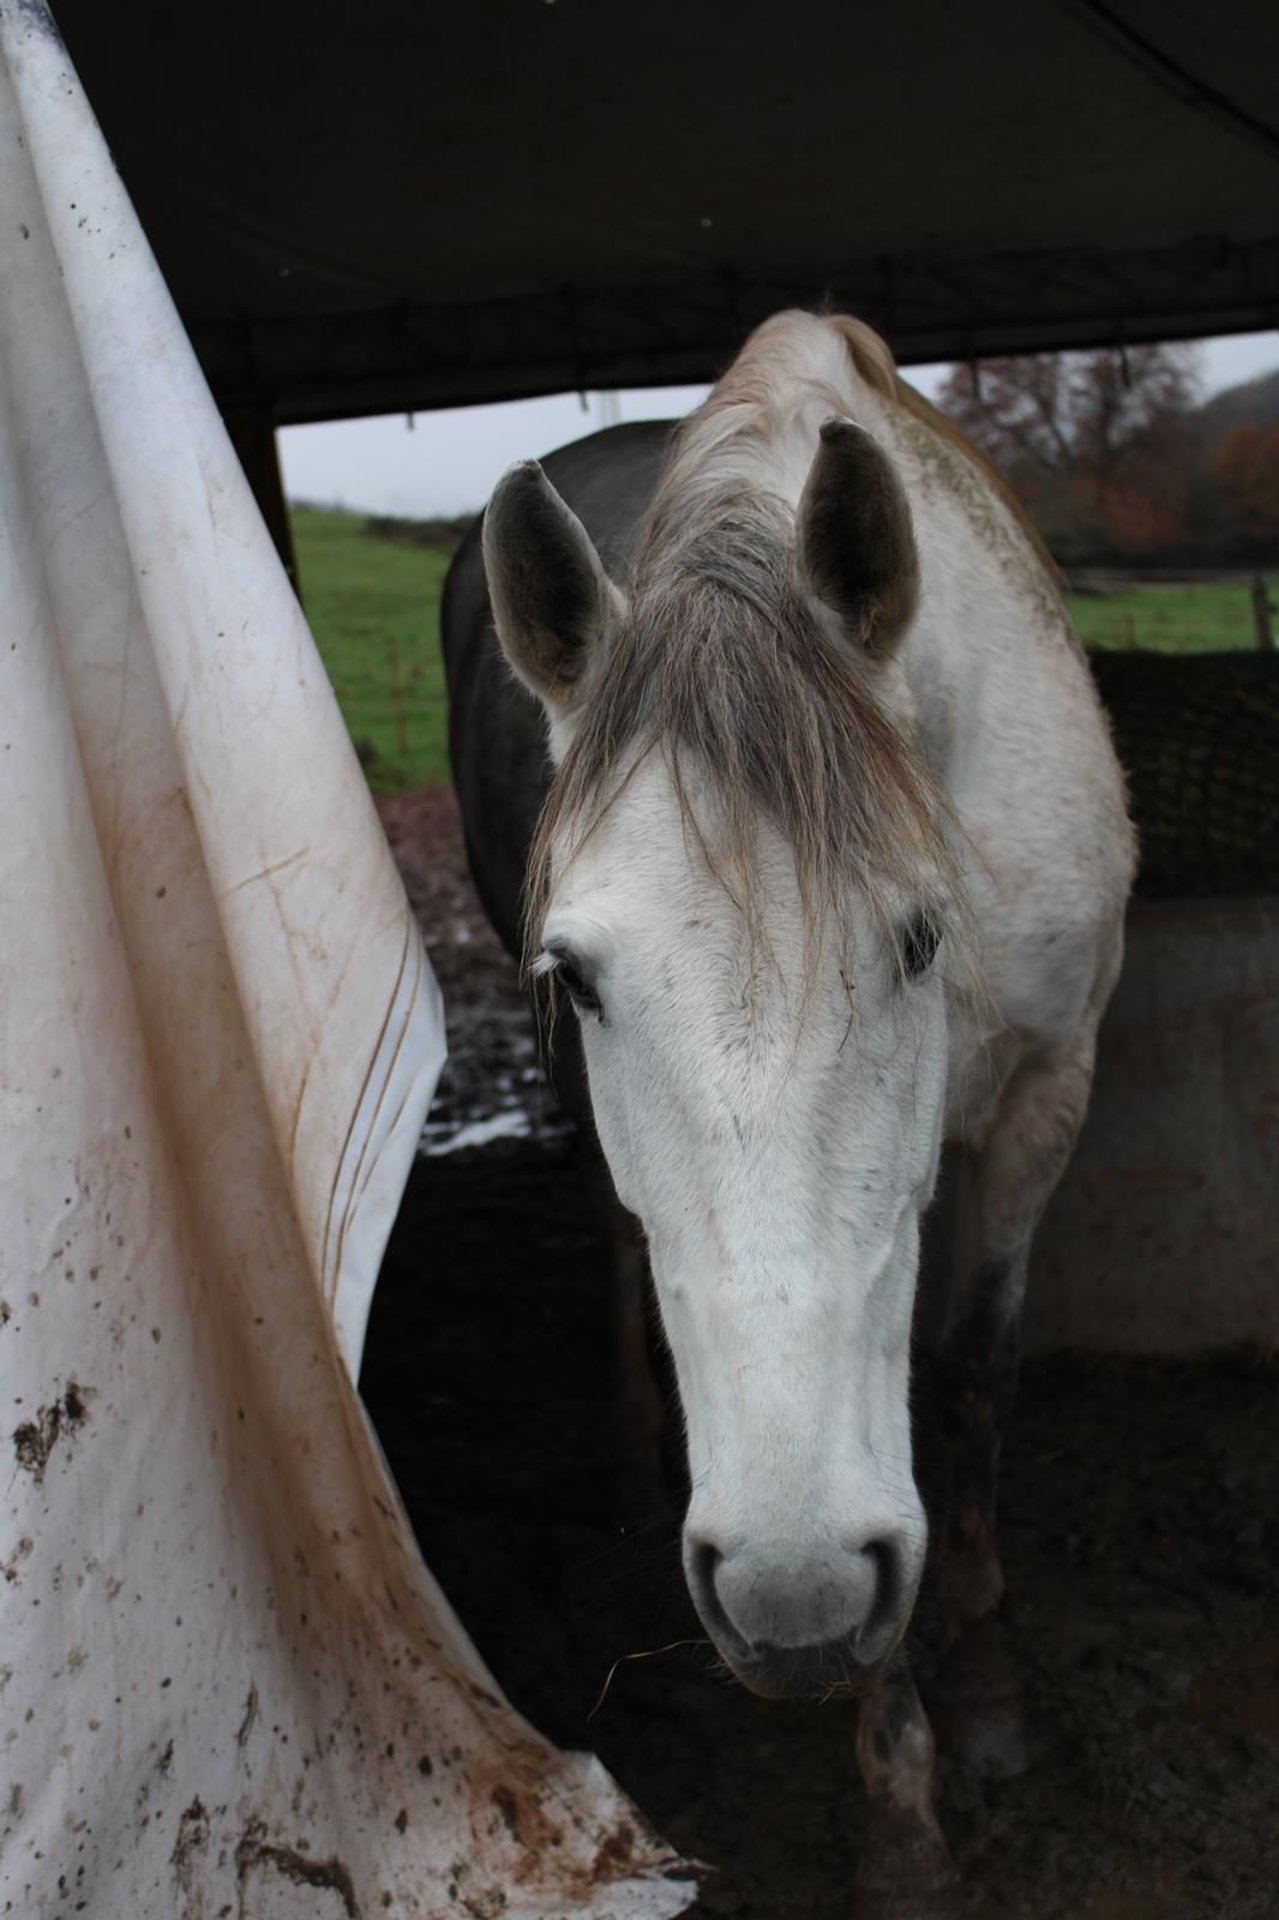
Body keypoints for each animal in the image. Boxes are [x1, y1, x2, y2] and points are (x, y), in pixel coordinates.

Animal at [445, 314, 1129, 1920]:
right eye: (574, 974)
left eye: (921, 940)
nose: (793, 1585)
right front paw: (900, 1817)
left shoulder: (1046, 1088)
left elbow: (968, 1378)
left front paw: (985, 1695)